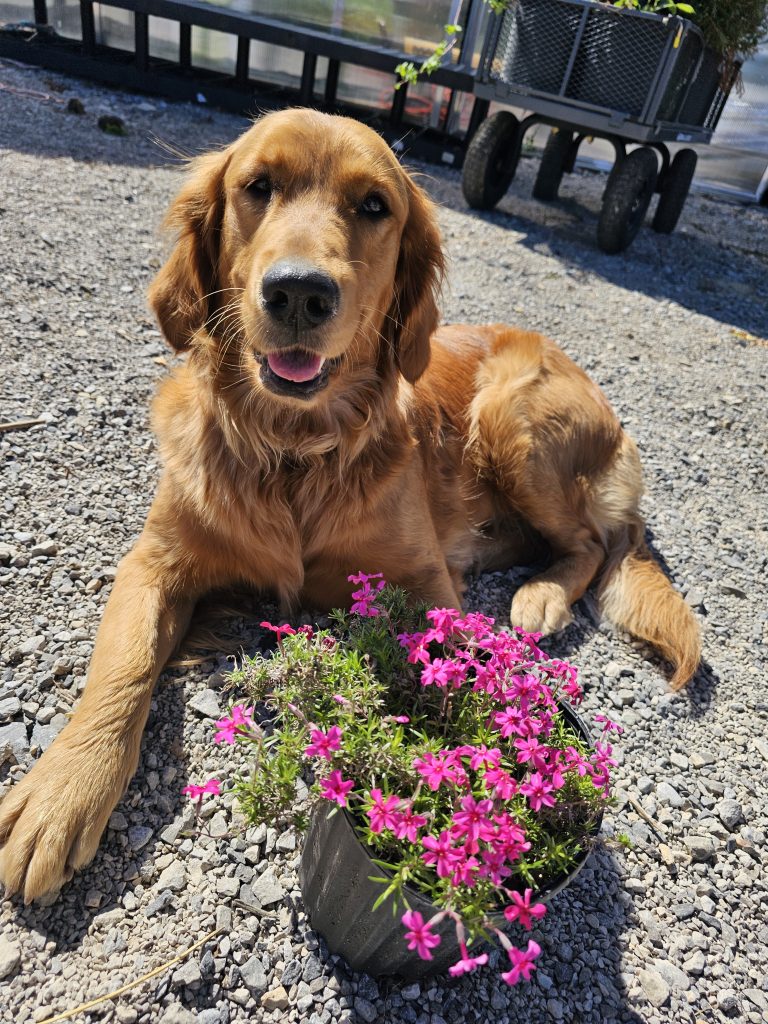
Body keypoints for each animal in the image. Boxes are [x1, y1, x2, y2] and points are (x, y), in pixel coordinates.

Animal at [0, 108, 699, 903]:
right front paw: (62, 790)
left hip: (513, 419)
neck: (293, 450)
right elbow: (121, 664)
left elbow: (447, 663)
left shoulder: (428, 583)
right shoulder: (153, 562)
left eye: (373, 206)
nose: (300, 293)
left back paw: (542, 597)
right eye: (257, 186)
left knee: (596, 542)